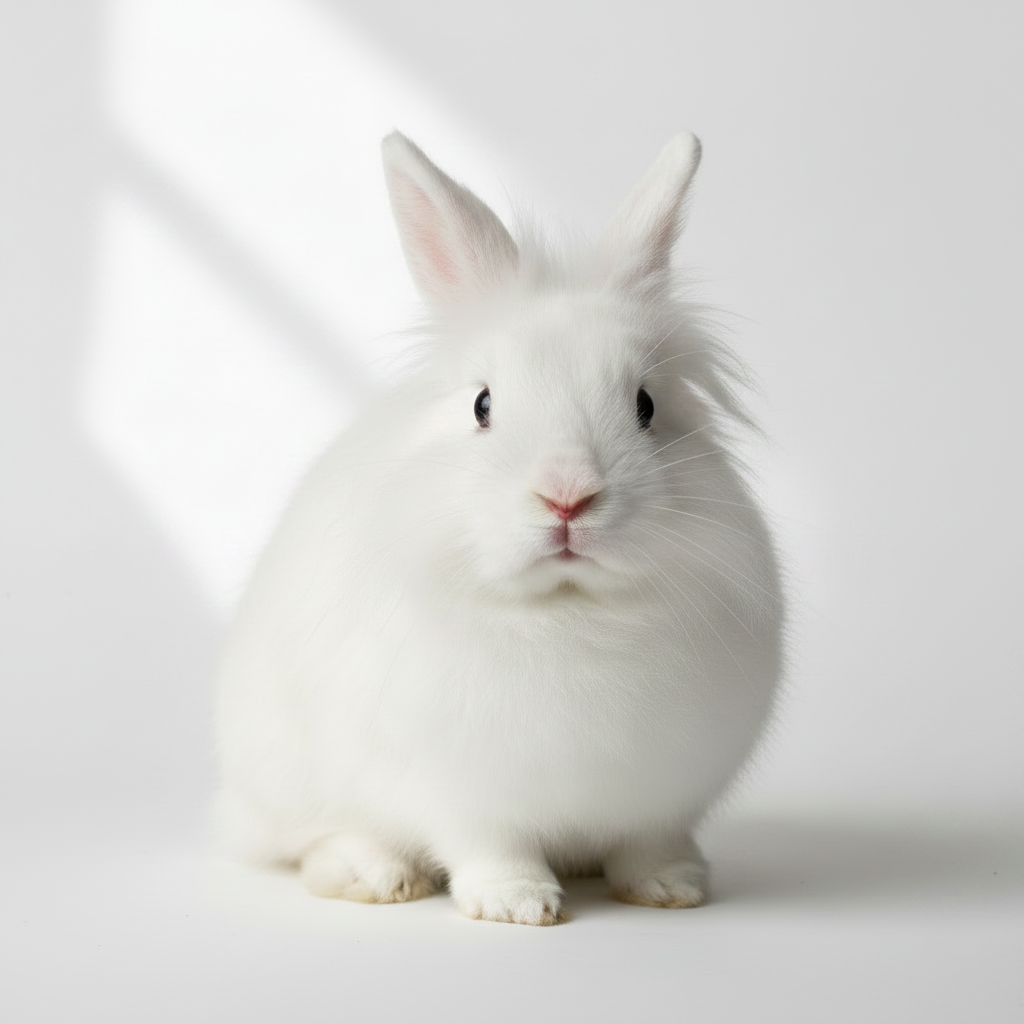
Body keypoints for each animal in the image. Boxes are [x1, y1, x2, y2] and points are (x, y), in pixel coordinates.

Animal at [215, 130, 784, 926]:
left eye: (645, 405)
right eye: (483, 404)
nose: (568, 496)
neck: (568, 612)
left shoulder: (663, 796)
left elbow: (648, 844)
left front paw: (672, 889)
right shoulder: (460, 790)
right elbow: (491, 846)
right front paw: (518, 906)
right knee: (318, 839)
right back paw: (376, 877)